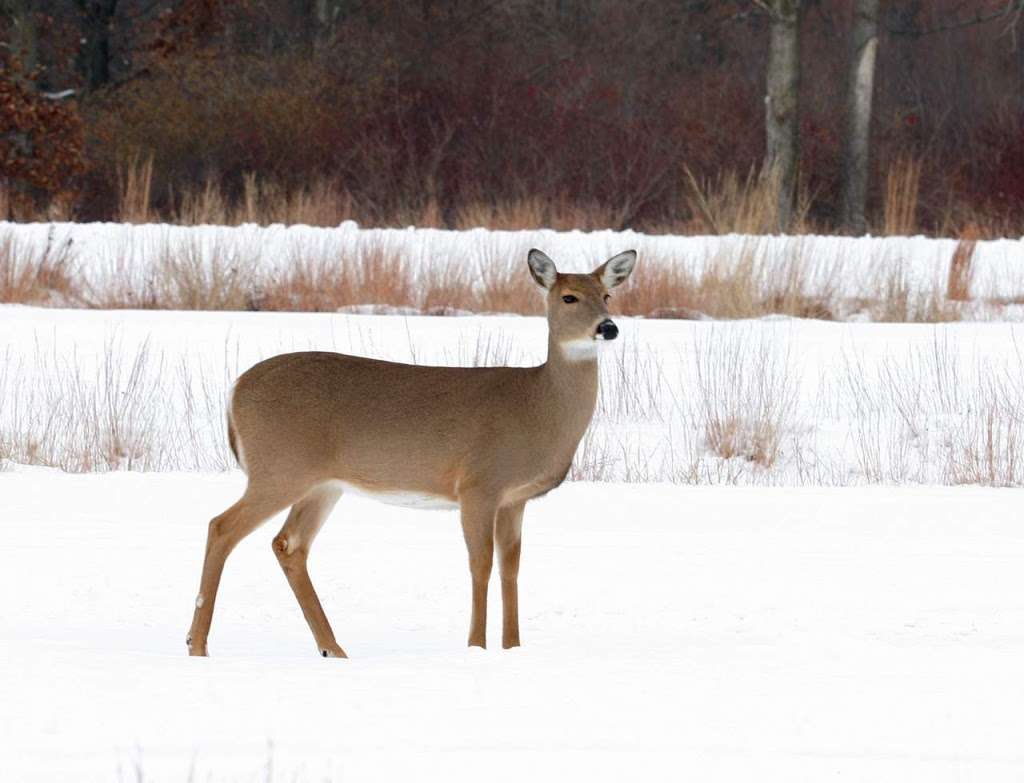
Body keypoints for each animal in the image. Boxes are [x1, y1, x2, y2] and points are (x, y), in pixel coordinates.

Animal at [183, 247, 630, 655]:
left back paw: (333, 648)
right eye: (568, 297)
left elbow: (511, 568)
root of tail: (235, 389)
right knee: (221, 527)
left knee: (288, 544)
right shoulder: (478, 484)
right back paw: (197, 644)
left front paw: (513, 647)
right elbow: (480, 564)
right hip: (279, 468)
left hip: (322, 484)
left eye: (607, 295)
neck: (538, 407)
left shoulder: (514, 498)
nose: (608, 328)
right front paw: (476, 646)